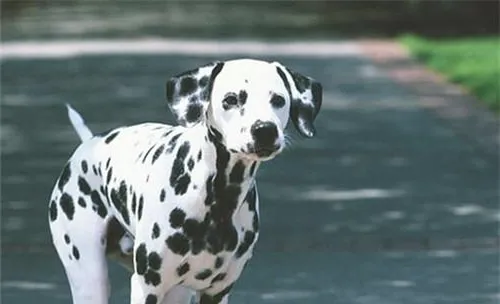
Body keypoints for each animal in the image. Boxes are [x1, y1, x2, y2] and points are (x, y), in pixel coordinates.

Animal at [48, 58, 322, 302]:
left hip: (176, 294)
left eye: (278, 100)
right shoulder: (147, 287)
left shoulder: (217, 292)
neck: (218, 198)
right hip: (90, 280)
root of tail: (89, 143)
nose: (265, 130)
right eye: (231, 99)